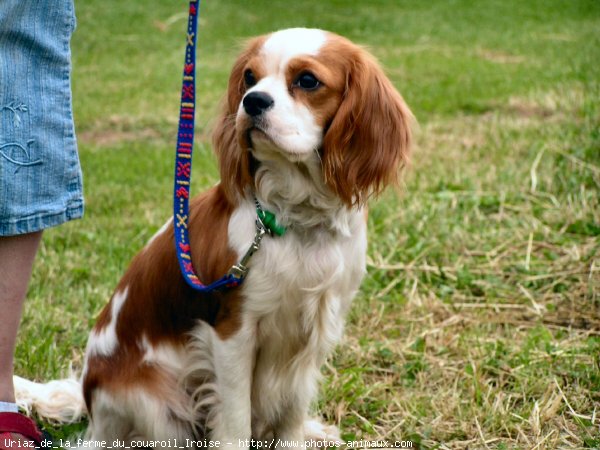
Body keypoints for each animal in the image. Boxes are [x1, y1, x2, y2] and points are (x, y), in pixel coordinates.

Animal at [17, 27, 412, 446]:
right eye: (250, 78)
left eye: (307, 81)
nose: (253, 101)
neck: (299, 215)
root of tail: (91, 406)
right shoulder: (233, 332)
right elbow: (236, 421)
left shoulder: (316, 327)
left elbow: (292, 410)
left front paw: (296, 436)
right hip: (159, 407)